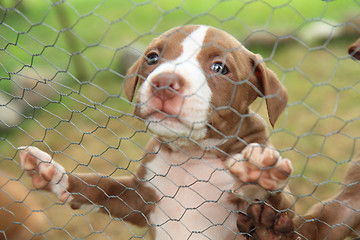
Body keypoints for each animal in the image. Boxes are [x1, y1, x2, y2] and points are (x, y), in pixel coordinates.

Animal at [17, 25, 292, 239]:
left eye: (220, 68)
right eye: (152, 58)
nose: (165, 82)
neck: (192, 153)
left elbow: (281, 205)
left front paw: (258, 171)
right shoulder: (138, 200)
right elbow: (99, 187)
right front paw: (51, 172)